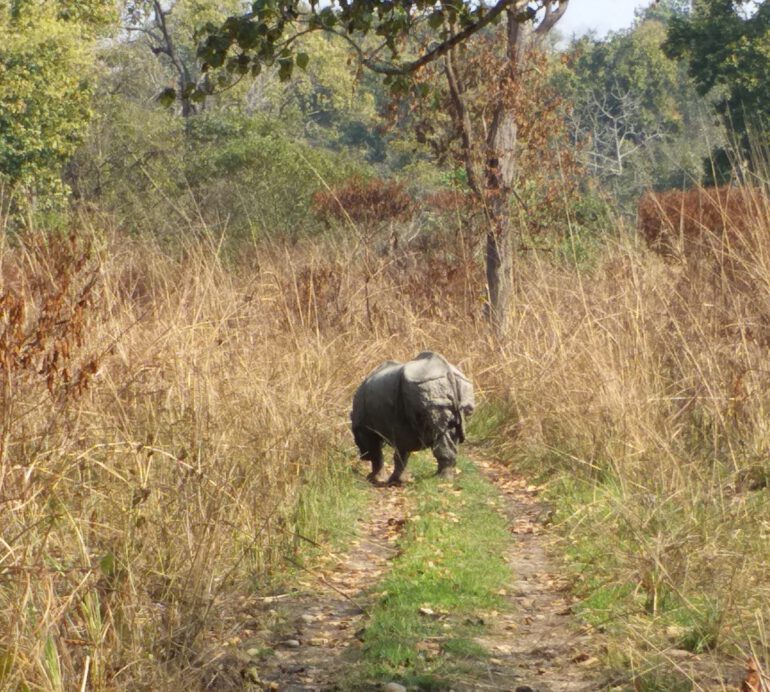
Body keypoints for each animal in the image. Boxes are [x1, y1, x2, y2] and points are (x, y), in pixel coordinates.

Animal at [351, 351, 475, 484]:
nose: (362, 457)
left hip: (427, 384)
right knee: (449, 431)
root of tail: (448, 371)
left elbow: (376, 452)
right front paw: (396, 480)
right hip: (458, 385)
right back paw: (443, 479)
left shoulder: (364, 426)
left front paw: (375, 479)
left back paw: (439, 479)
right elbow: (402, 451)